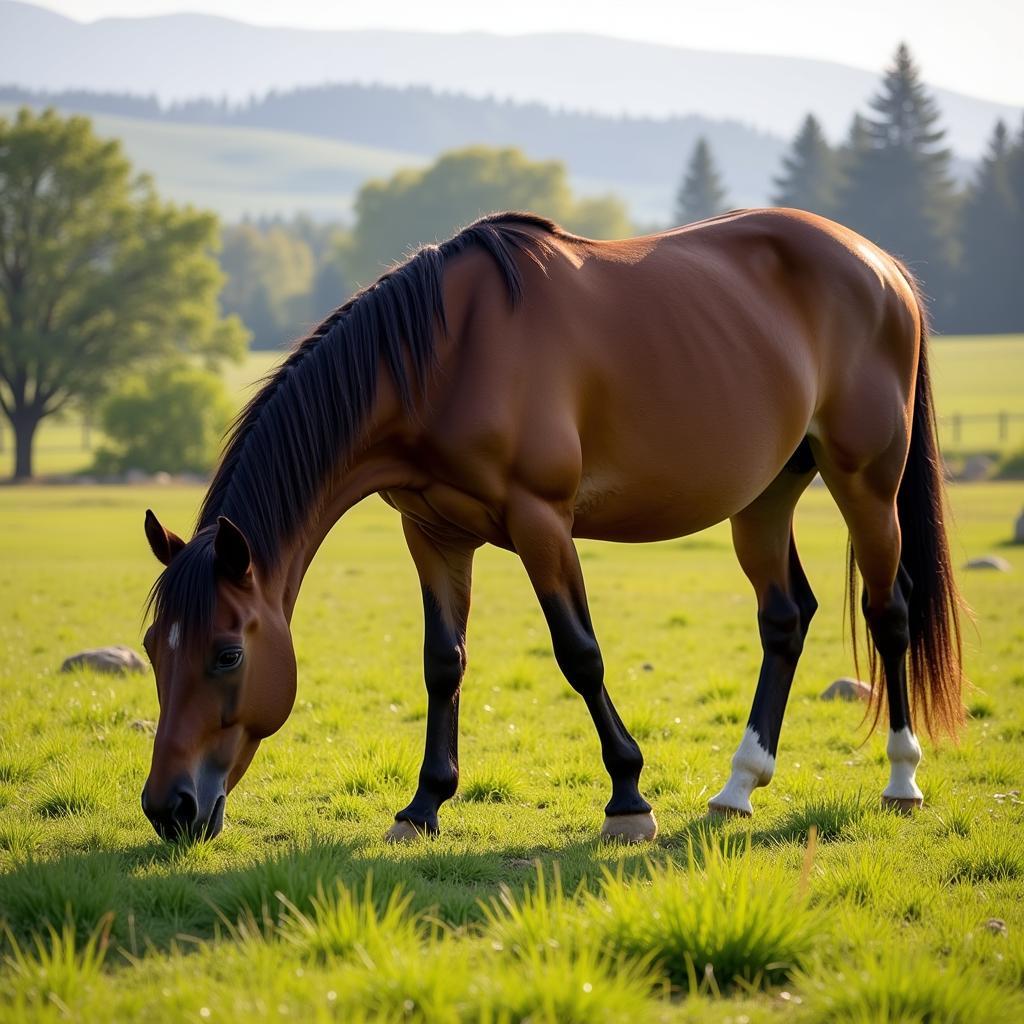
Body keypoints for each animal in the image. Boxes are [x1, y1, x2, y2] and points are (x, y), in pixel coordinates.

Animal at [140, 205, 962, 839]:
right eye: (151, 649)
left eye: (226, 654)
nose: (168, 808)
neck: (445, 356)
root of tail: (880, 265)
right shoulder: (433, 535)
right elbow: (443, 663)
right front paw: (424, 804)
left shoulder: (541, 523)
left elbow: (580, 654)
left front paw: (628, 800)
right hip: (764, 496)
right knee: (786, 619)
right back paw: (738, 787)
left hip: (866, 483)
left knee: (889, 610)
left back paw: (901, 779)